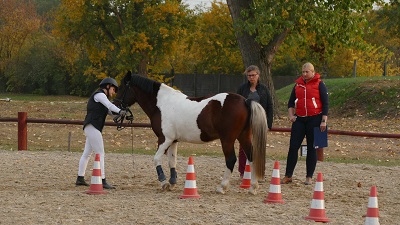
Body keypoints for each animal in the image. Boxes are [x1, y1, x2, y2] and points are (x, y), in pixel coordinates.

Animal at [114, 72, 268, 195]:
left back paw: (222, 187)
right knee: (251, 157)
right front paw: (172, 182)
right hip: (244, 136)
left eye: (121, 88)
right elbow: (172, 161)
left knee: (231, 160)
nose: (115, 110)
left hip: (227, 139)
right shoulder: (173, 141)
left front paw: (164, 183)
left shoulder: (164, 139)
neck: (162, 104)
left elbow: (156, 159)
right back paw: (253, 187)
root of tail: (245, 100)